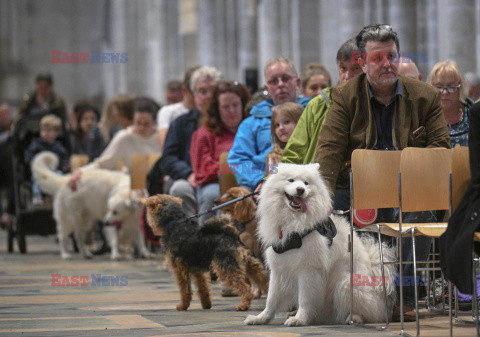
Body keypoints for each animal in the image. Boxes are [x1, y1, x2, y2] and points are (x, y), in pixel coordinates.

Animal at [142, 193, 270, 312]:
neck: (175, 222)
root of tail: (231, 234)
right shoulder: (198, 271)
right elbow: (203, 288)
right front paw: (206, 304)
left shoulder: (180, 270)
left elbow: (185, 290)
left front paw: (183, 306)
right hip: (251, 265)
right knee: (265, 281)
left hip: (226, 268)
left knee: (246, 288)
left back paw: (243, 305)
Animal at [246, 163, 396, 326]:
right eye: (291, 180)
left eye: (306, 183)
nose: (300, 189)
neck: (294, 223)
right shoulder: (279, 268)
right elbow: (271, 299)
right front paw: (261, 318)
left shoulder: (308, 269)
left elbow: (305, 299)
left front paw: (299, 319)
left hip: (345, 283)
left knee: (371, 312)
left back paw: (354, 318)